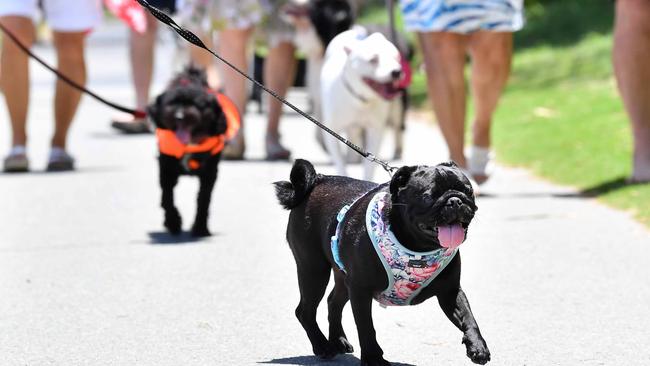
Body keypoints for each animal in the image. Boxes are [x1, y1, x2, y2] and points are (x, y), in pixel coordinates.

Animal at [148, 66, 229, 237]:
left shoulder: (209, 173)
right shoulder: (166, 170)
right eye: (171, 103)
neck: (190, 144)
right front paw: (173, 222)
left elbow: (203, 199)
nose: (179, 116)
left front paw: (200, 228)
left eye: (196, 104)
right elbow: (167, 198)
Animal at [272, 160, 486, 366]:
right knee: (305, 311)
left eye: (469, 191)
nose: (455, 200)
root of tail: (317, 180)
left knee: (333, 302)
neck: (418, 249)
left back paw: (338, 340)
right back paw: (322, 346)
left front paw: (478, 347)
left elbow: (468, 318)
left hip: (343, 278)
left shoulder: (450, 292)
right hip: (314, 271)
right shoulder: (360, 290)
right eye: (428, 196)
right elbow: (366, 326)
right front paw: (373, 358)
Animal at [320, 27, 402, 180]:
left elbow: (370, 166)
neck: (360, 100)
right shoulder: (331, 133)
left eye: (397, 58)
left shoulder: (375, 131)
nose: (396, 71)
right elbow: (340, 163)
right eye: (373, 60)